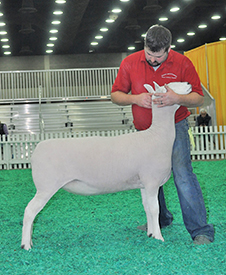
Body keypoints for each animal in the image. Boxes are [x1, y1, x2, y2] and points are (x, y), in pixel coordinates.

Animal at [21, 81, 192, 250]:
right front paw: (158, 237)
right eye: (171, 87)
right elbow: (155, 209)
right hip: (46, 186)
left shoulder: (143, 184)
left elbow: (147, 208)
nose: (190, 83)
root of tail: (37, 149)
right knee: (30, 210)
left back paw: (29, 241)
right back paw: (26, 245)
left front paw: (150, 234)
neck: (157, 136)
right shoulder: (152, 181)